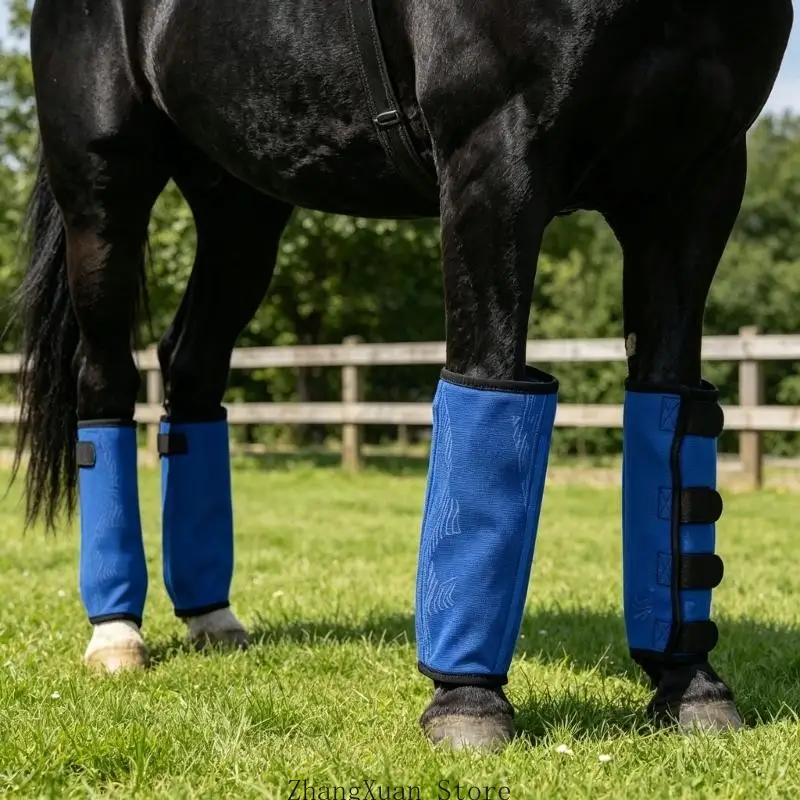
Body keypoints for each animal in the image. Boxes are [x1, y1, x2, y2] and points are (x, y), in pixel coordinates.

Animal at [11, 0, 792, 752]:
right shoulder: (495, 163)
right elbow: (489, 388)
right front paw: (468, 704)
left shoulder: (695, 183)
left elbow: (672, 414)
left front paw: (691, 687)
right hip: (105, 191)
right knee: (105, 380)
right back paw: (116, 632)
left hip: (240, 205)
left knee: (192, 368)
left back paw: (211, 617)